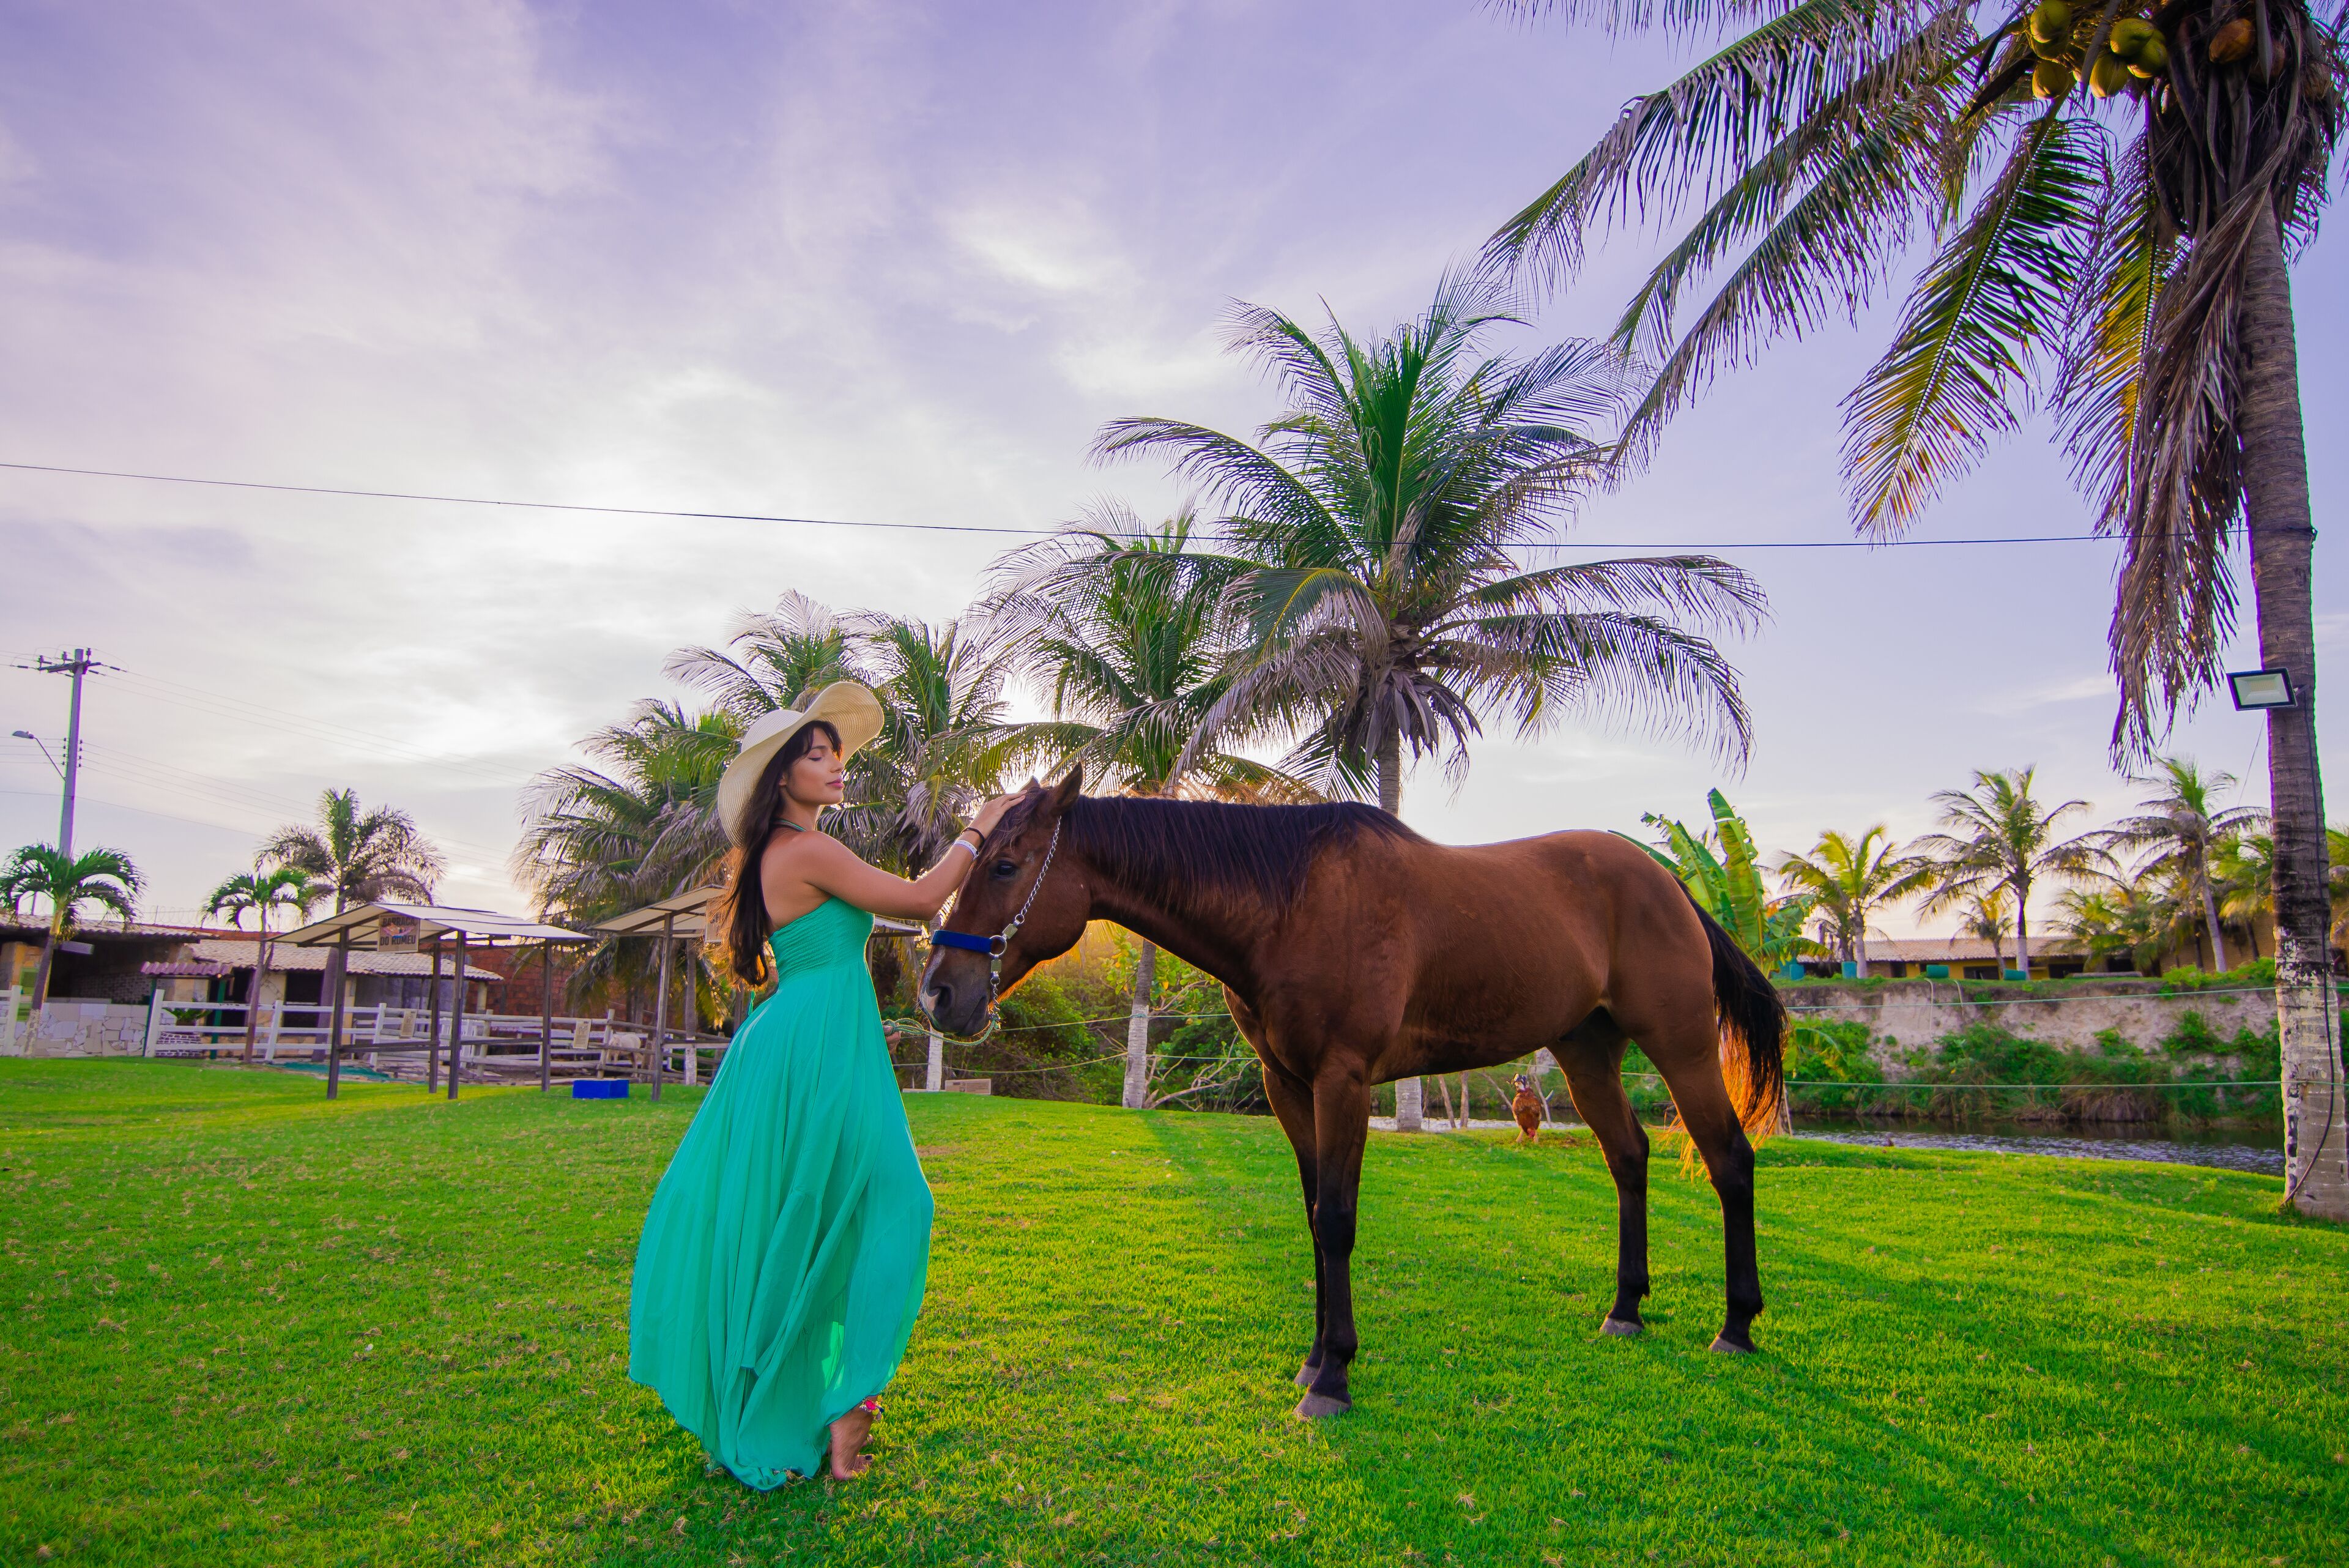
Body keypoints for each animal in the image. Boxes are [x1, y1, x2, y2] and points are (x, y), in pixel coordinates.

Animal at [920, 769, 1787, 1419]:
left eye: (1006, 865)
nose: (938, 993)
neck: (1289, 902)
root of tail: (1670, 884)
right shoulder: (1290, 1087)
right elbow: (1312, 1216)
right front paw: (1312, 1360)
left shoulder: (1343, 1082)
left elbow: (1336, 1220)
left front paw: (1334, 1375)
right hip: (1587, 1054)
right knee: (1630, 1158)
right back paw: (1626, 1309)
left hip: (1680, 1047)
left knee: (1729, 1160)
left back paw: (1737, 1325)